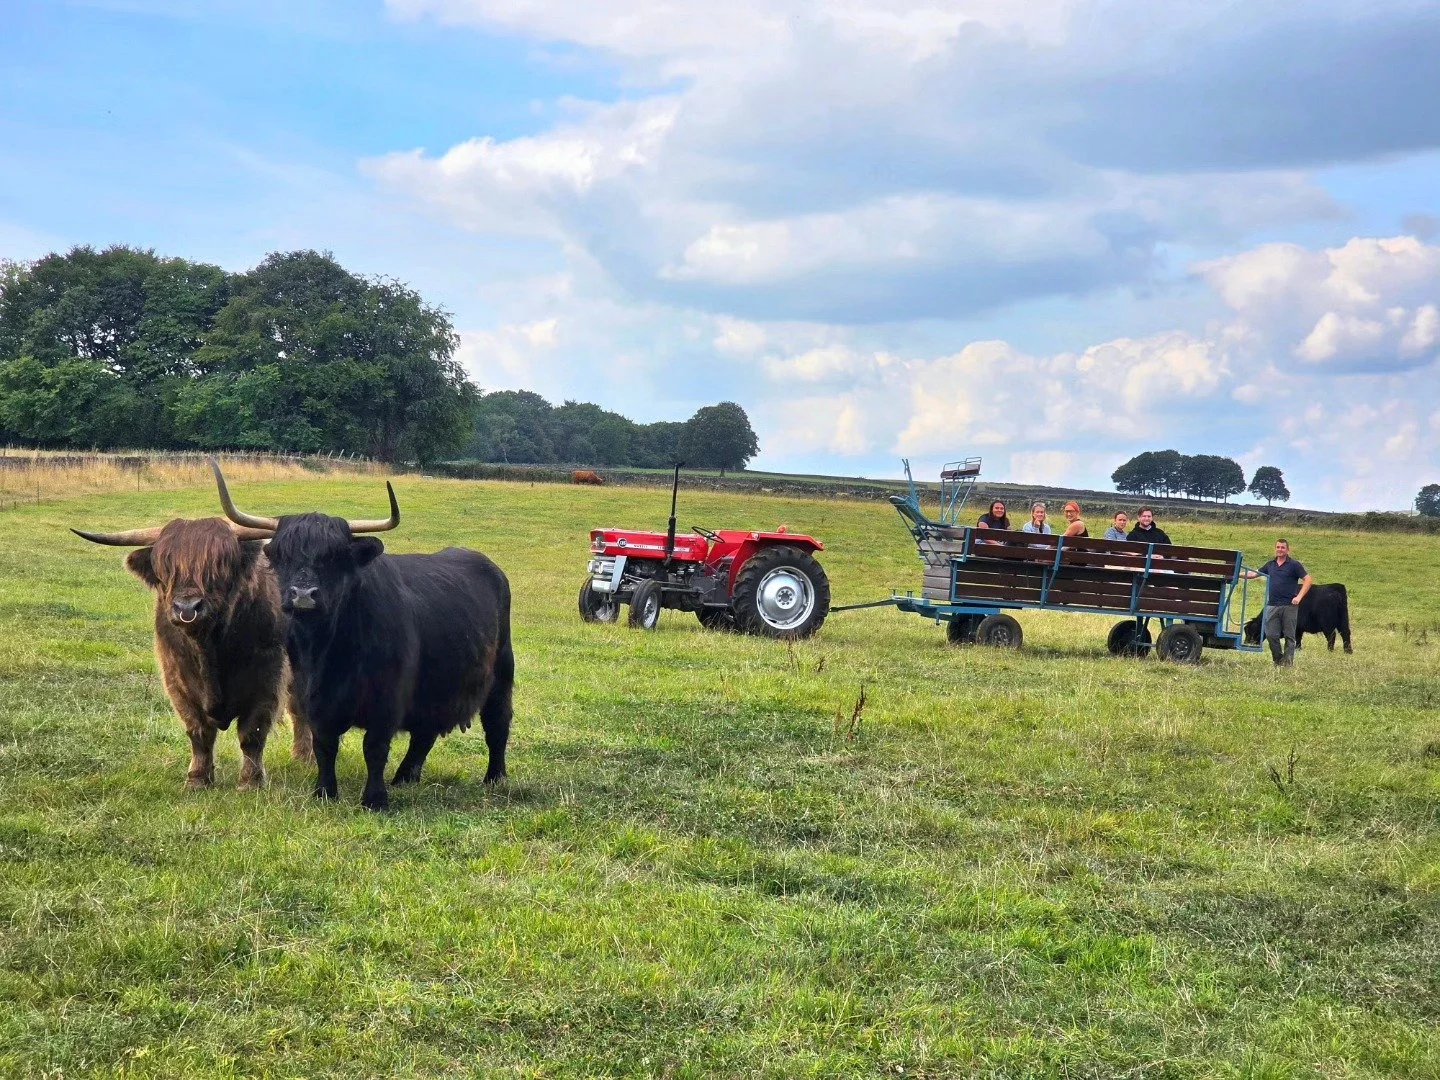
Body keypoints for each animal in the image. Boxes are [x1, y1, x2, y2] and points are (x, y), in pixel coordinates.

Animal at [72, 516, 308, 789]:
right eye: (165, 571)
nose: (187, 607)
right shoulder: (176, 678)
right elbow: (198, 731)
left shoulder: (268, 676)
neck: (209, 650)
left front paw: (250, 782)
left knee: (301, 710)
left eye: (219, 567)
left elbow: (253, 732)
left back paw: (306, 757)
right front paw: (197, 779)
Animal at [210, 460, 514, 811]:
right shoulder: (313, 697)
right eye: (283, 556)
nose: (303, 594)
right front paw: (324, 791)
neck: (331, 650)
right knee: (424, 732)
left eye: (335, 557)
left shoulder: (387, 699)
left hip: (501, 673)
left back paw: (495, 778)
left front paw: (374, 799)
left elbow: (375, 748)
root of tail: (486, 564)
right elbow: (324, 745)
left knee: (497, 724)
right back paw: (404, 778)